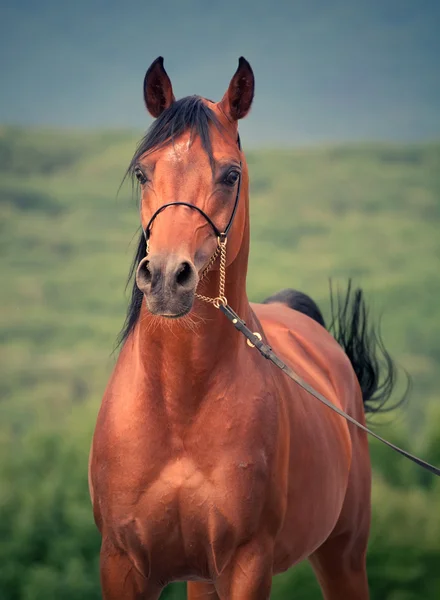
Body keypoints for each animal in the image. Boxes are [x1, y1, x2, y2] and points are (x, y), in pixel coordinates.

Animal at [88, 57, 396, 600]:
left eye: (230, 175)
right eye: (143, 171)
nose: (166, 278)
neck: (179, 404)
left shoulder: (246, 565)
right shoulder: (122, 564)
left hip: (343, 555)